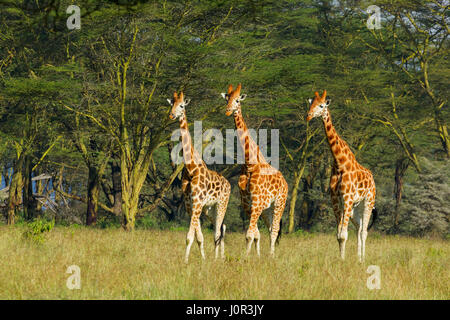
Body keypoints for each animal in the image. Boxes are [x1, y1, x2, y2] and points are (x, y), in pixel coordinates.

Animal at [169, 90, 232, 262]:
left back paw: (217, 258)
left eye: (182, 105)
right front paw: (203, 258)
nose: (171, 115)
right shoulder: (190, 204)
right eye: (172, 104)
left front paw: (185, 261)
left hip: (221, 204)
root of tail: (229, 184)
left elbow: (190, 236)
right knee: (221, 227)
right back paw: (220, 257)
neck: (191, 168)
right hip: (209, 209)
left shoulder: (197, 202)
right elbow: (199, 237)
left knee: (218, 230)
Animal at [221, 84, 288, 256]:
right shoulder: (248, 204)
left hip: (279, 203)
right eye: (226, 99)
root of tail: (285, 182)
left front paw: (246, 257)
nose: (228, 110)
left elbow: (250, 234)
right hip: (266, 209)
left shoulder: (256, 203)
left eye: (237, 100)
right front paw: (254, 256)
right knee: (270, 229)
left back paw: (272, 256)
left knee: (275, 230)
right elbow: (255, 234)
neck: (249, 165)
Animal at [308, 90, 378, 262]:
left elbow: (343, 234)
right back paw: (358, 258)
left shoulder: (346, 197)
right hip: (355, 208)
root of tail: (372, 179)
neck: (339, 162)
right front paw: (342, 258)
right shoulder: (335, 198)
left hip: (368, 202)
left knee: (364, 231)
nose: (308, 115)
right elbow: (339, 234)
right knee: (359, 229)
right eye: (310, 104)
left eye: (321, 105)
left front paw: (342, 260)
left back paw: (363, 259)